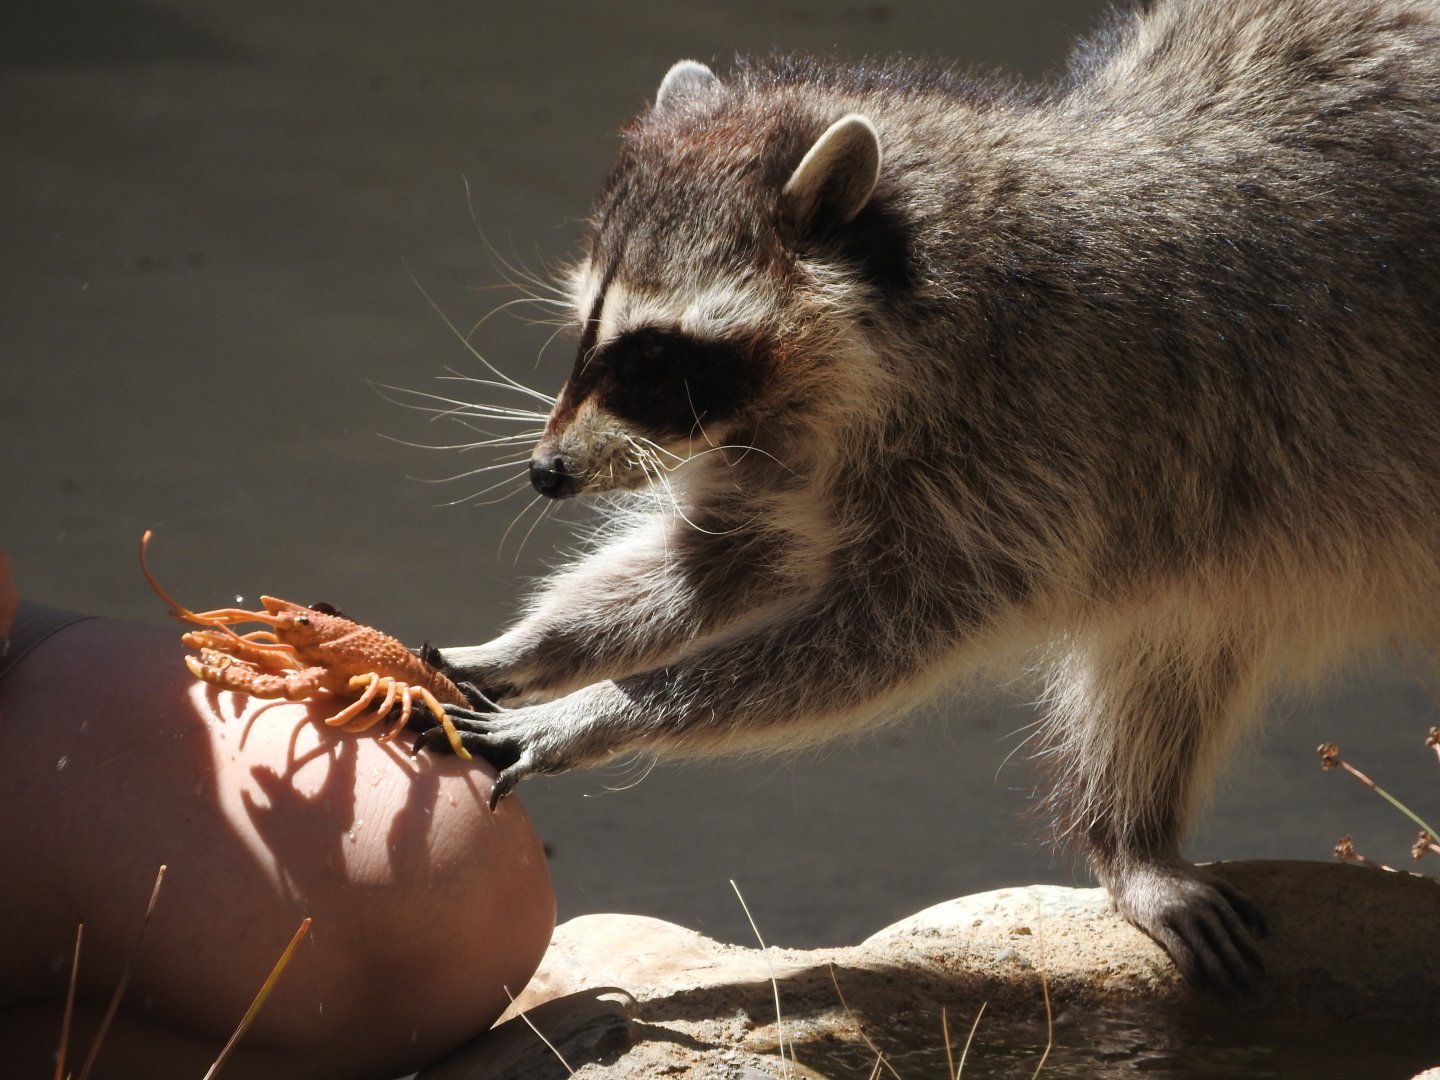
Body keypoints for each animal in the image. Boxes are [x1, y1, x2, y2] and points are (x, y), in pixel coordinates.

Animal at [431, 0, 1440, 993]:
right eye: (587, 335)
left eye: (654, 356)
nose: (547, 472)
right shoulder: (793, 445)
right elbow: (714, 560)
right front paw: (528, 648)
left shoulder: (1040, 433)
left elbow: (889, 632)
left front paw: (605, 708)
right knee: (1172, 641)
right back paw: (1131, 837)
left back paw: (1133, 839)